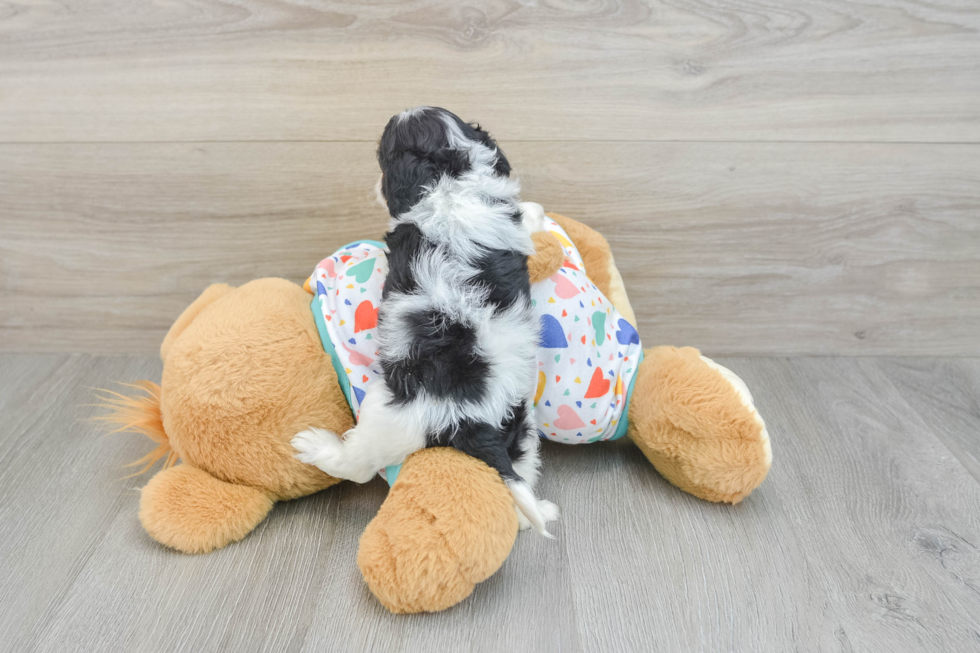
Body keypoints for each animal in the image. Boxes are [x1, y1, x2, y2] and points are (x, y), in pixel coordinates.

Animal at [290, 108, 560, 536]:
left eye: (382, 157)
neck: (451, 180)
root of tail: (475, 422)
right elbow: (524, 220)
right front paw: (537, 214)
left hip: (392, 414)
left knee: (359, 464)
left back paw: (316, 447)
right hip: (520, 431)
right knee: (517, 483)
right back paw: (535, 510)